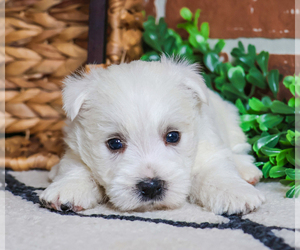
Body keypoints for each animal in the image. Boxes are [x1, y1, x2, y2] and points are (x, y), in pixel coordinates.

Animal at [39, 56, 264, 215]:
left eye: (173, 136)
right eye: (114, 143)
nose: (151, 186)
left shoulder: (209, 150)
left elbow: (217, 172)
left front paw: (235, 193)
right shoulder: (76, 149)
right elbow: (76, 168)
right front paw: (68, 189)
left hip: (231, 120)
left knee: (238, 150)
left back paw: (248, 172)